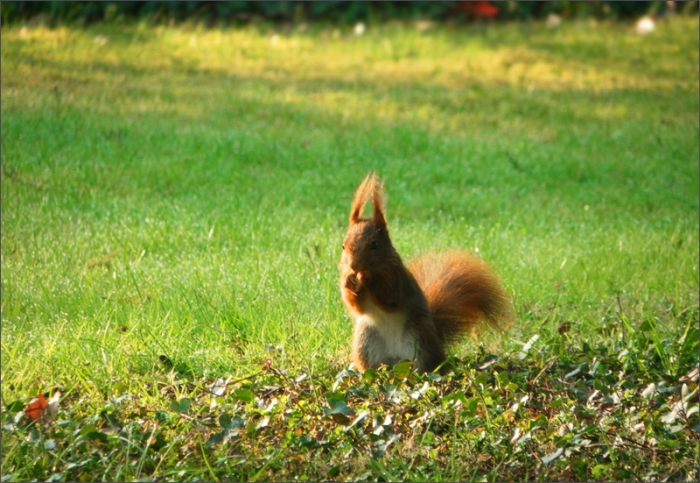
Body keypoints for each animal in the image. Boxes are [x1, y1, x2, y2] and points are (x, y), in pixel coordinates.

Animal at [339, 172, 514, 373]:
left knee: (425, 366)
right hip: (366, 340)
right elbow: (356, 307)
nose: (354, 266)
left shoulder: (398, 282)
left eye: (374, 245)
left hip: (420, 338)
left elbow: (390, 299)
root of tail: (396, 361)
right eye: (343, 245)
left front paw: (367, 278)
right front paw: (348, 281)